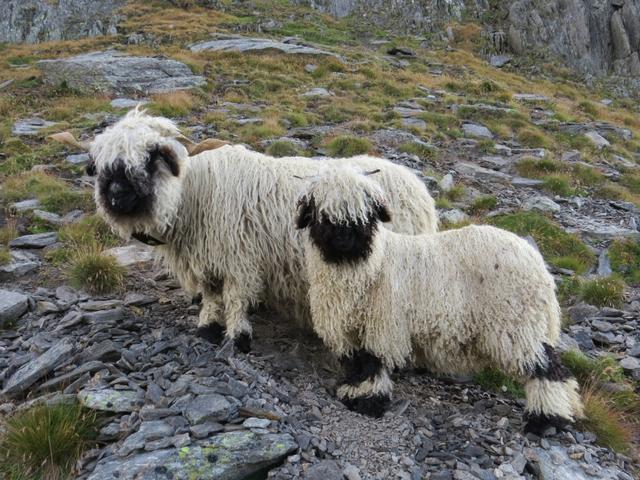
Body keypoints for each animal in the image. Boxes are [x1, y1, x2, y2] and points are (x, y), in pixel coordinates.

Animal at [52, 109, 438, 352]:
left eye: (150, 158)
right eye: (101, 167)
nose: (117, 196)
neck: (193, 195)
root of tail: (418, 187)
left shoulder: (238, 257)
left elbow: (235, 298)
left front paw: (237, 337)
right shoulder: (204, 259)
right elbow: (210, 294)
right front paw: (207, 327)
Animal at [296, 168, 584, 436]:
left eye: (367, 214)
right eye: (321, 214)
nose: (344, 240)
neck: (370, 266)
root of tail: (536, 263)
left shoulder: (381, 326)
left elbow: (371, 363)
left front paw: (369, 402)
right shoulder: (349, 330)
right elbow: (357, 365)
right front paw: (354, 394)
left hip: (516, 324)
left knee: (546, 367)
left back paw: (546, 419)